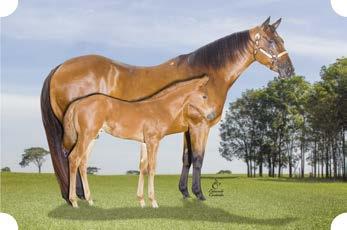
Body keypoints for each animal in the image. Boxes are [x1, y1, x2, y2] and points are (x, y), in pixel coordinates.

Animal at [62, 76, 215, 208]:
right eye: (204, 96)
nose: (211, 115)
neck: (160, 108)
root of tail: (77, 103)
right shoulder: (153, 141)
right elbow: (152, 168)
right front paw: (153, 202)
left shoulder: (144, 143)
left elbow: (142, 167)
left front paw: (141, 201)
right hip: (86, 136)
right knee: (74, 158)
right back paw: (73, 202)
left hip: (92, 138)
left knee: (83, 163)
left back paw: (89, 200)